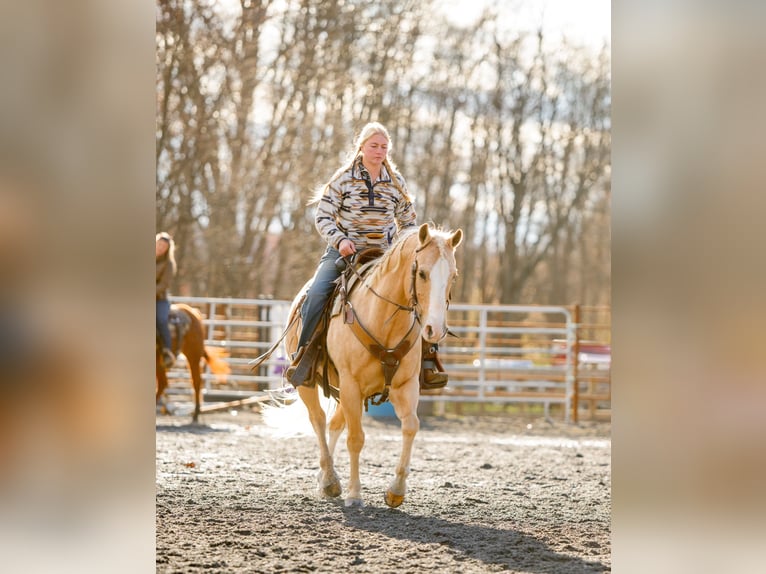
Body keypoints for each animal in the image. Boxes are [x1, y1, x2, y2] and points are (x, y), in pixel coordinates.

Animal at [285, 223, 463, 507]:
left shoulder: (405, 386)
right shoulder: (351, 385)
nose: (435, 330)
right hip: (308, 384)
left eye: (453, 276)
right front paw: (355, 494)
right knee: (319, 420)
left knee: (334, 424)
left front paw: (396, 490)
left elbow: (411, 426)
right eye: (422, 273)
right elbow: (356, 438)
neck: (384, 320)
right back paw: (330, 479)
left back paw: (325, 479)